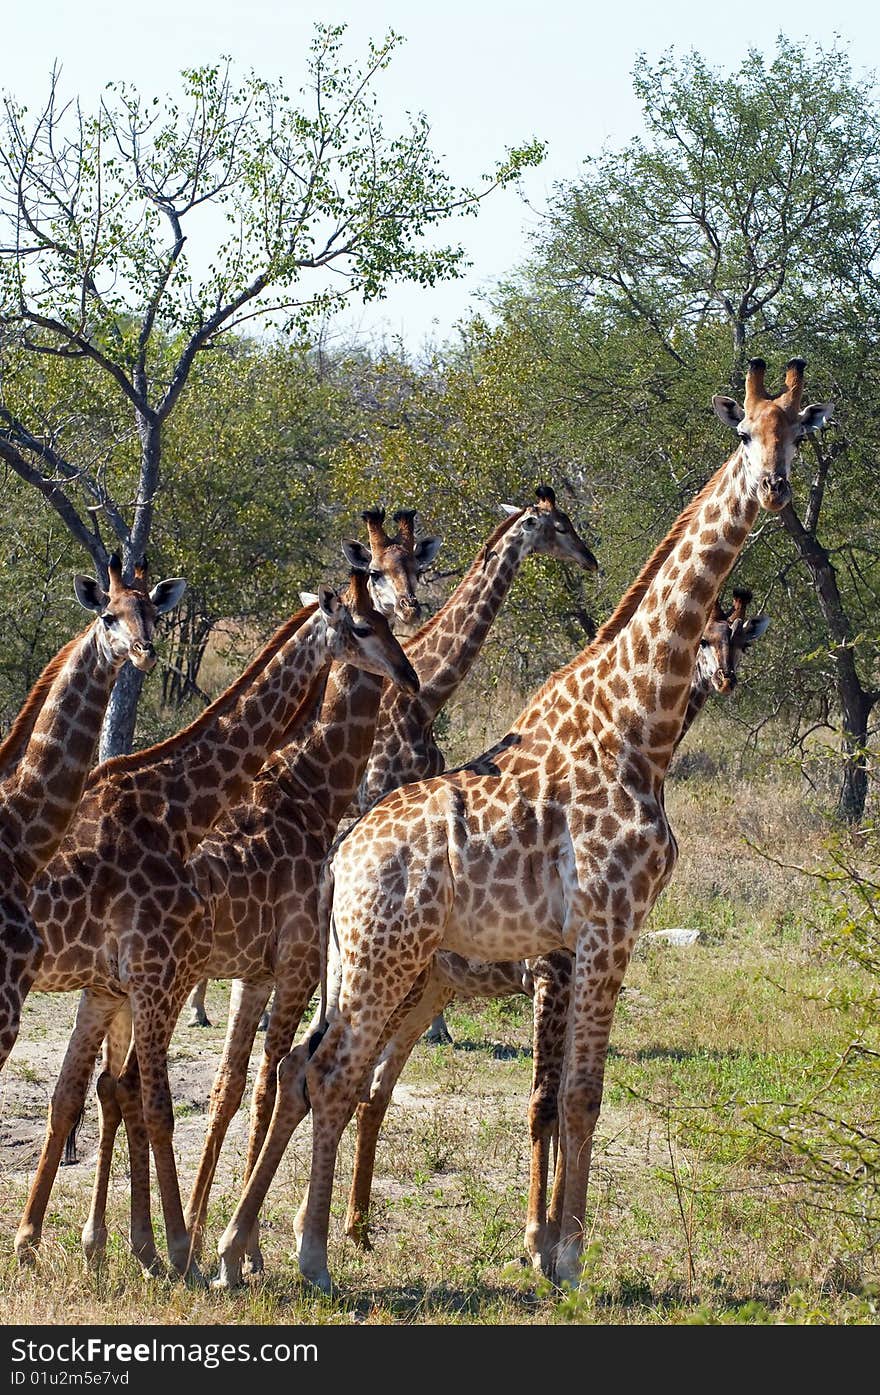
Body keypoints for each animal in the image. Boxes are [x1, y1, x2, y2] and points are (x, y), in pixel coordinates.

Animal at [340, 585, 769, 1255]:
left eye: (737, 640)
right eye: (704, 638)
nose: (724, 678)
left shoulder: (575, 975)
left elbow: (570, 1099)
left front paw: (564, 1233)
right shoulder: (552, 974)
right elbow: (545, 1100)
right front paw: (537, 1235)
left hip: (431, 987)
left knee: (374, 1087)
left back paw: (358, 1229)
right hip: (394, 977)